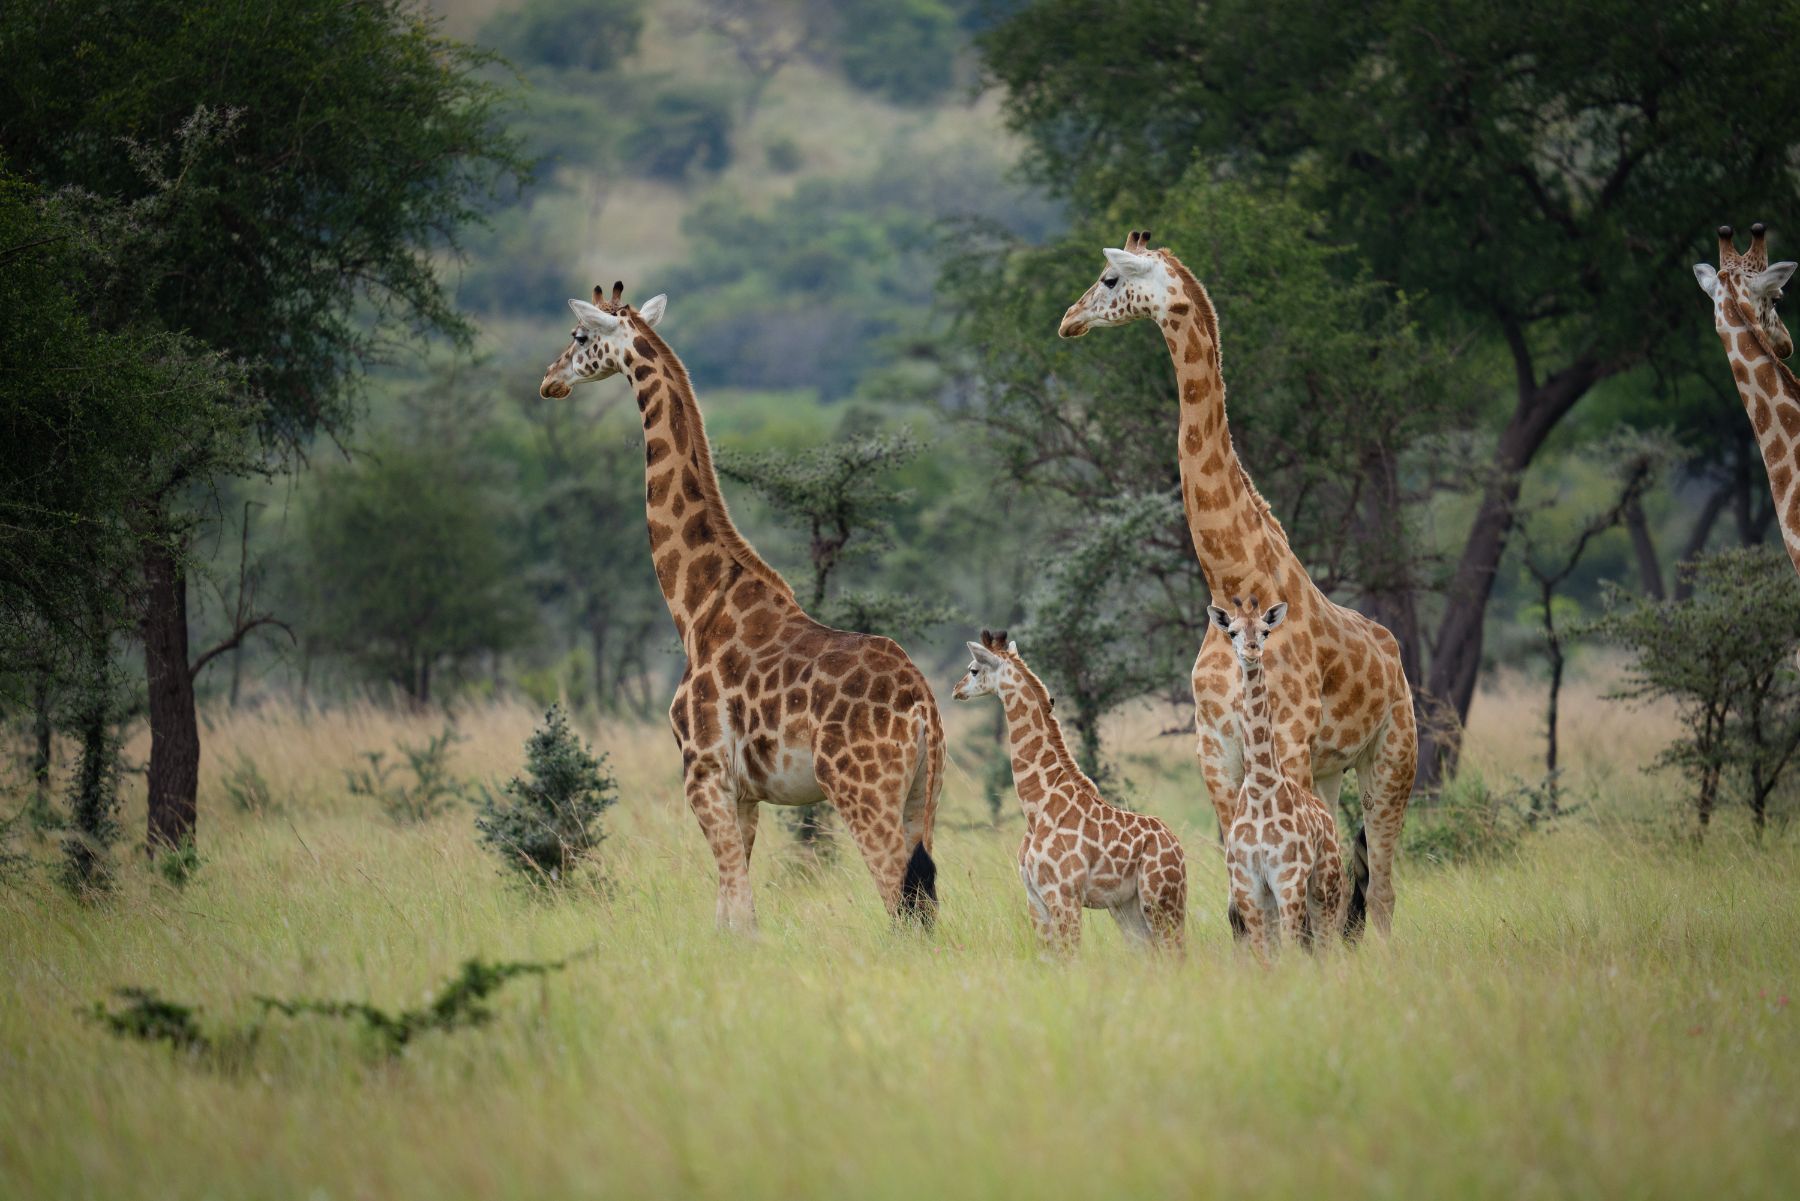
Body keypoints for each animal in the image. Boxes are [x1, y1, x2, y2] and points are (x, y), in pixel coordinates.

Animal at [539, 282, 944, 931]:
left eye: (579, 336)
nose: (548, 380)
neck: (697, 604)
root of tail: (924, 705)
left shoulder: (703, 771)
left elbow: (739, 913)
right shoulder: (745, 792)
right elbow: (731, 908)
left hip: (864, 791)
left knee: (899, 903)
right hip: (920, 796)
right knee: (925, 904)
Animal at [952, 629, 1187, 955]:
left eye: (973, 669)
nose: (956, 690)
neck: (1036, 806)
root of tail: (1177, 846)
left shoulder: (1064, 895)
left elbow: (1070, 956)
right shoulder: (1035, 898)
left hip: (1162, 900)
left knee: (1176, 953)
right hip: (1127, 906)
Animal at [1209, 597, 1348, 962]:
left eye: (1265, 630)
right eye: (1232, 631)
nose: (1252, 650)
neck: (1260, 788)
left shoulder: (1289, 877)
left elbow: (1290, 945)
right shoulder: (1249, 883)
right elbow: (1263, 951)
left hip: (1325, 882)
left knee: (1325, 939)